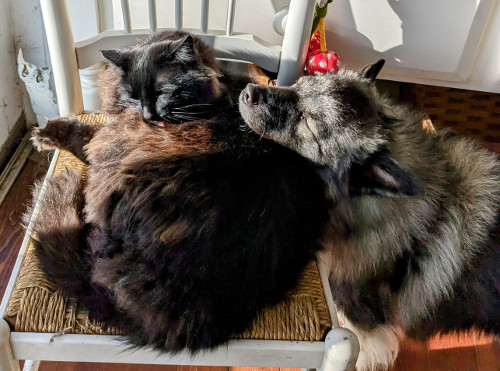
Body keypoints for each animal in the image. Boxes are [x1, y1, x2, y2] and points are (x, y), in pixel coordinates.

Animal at [30, 31, 328, 352]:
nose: (148, 115)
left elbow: (83, 134)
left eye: (164, 91)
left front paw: (46, 134)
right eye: (133, 95)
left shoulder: (107, 136)